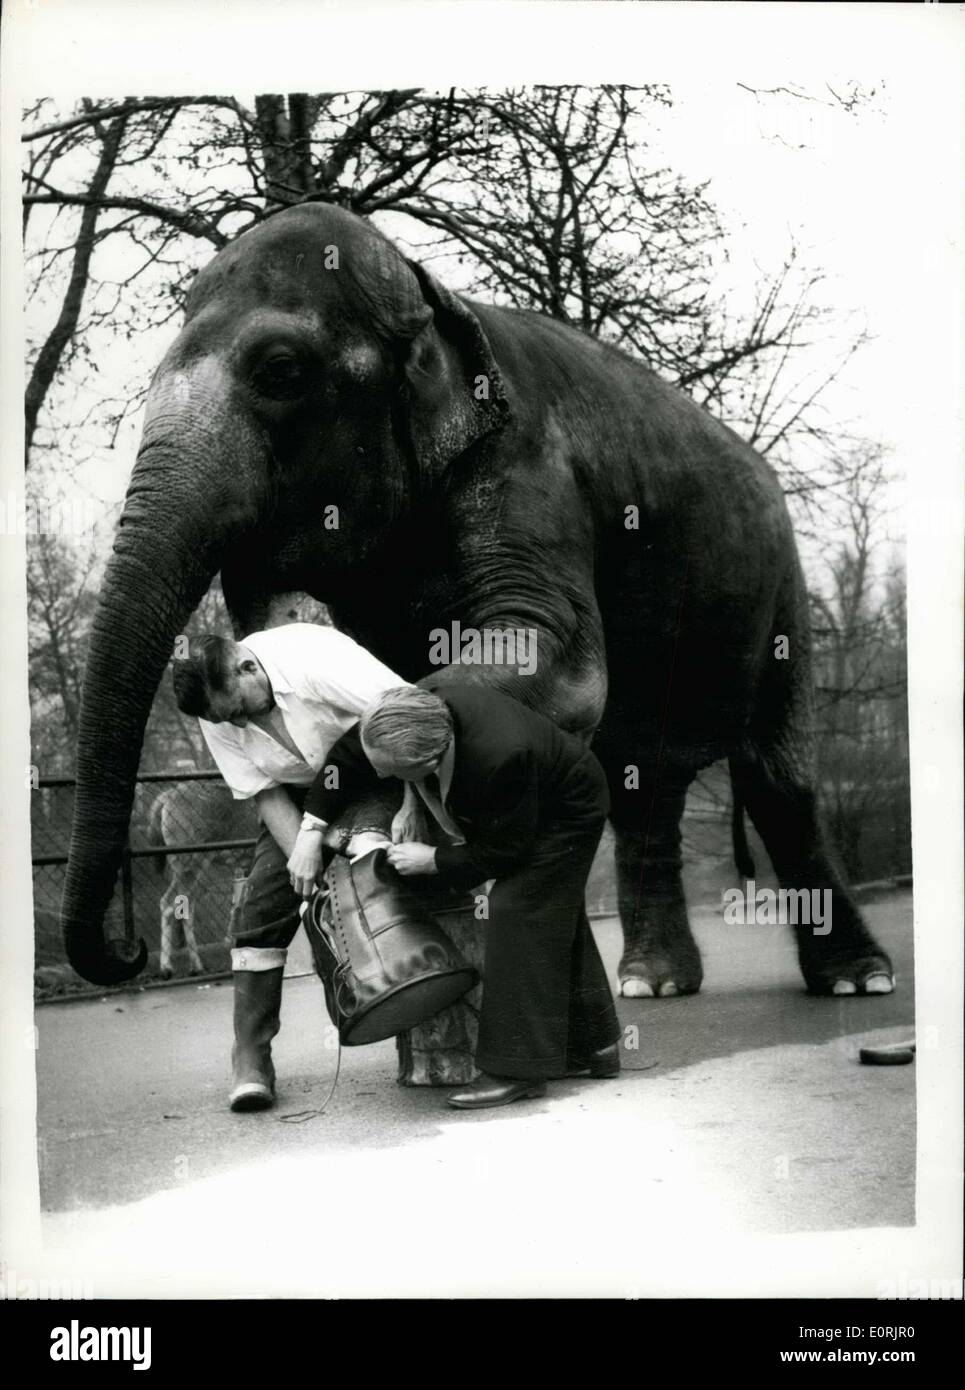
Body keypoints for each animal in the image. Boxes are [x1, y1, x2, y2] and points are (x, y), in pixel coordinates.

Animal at [60, 201, 895, 1000]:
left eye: (281, 371)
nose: (127, 955)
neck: (433, 295)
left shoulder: (529, 464)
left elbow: (550, 661)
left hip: (782, 586)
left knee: (777, 778)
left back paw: (855, 979)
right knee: (643, 786)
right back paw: (652, 983)